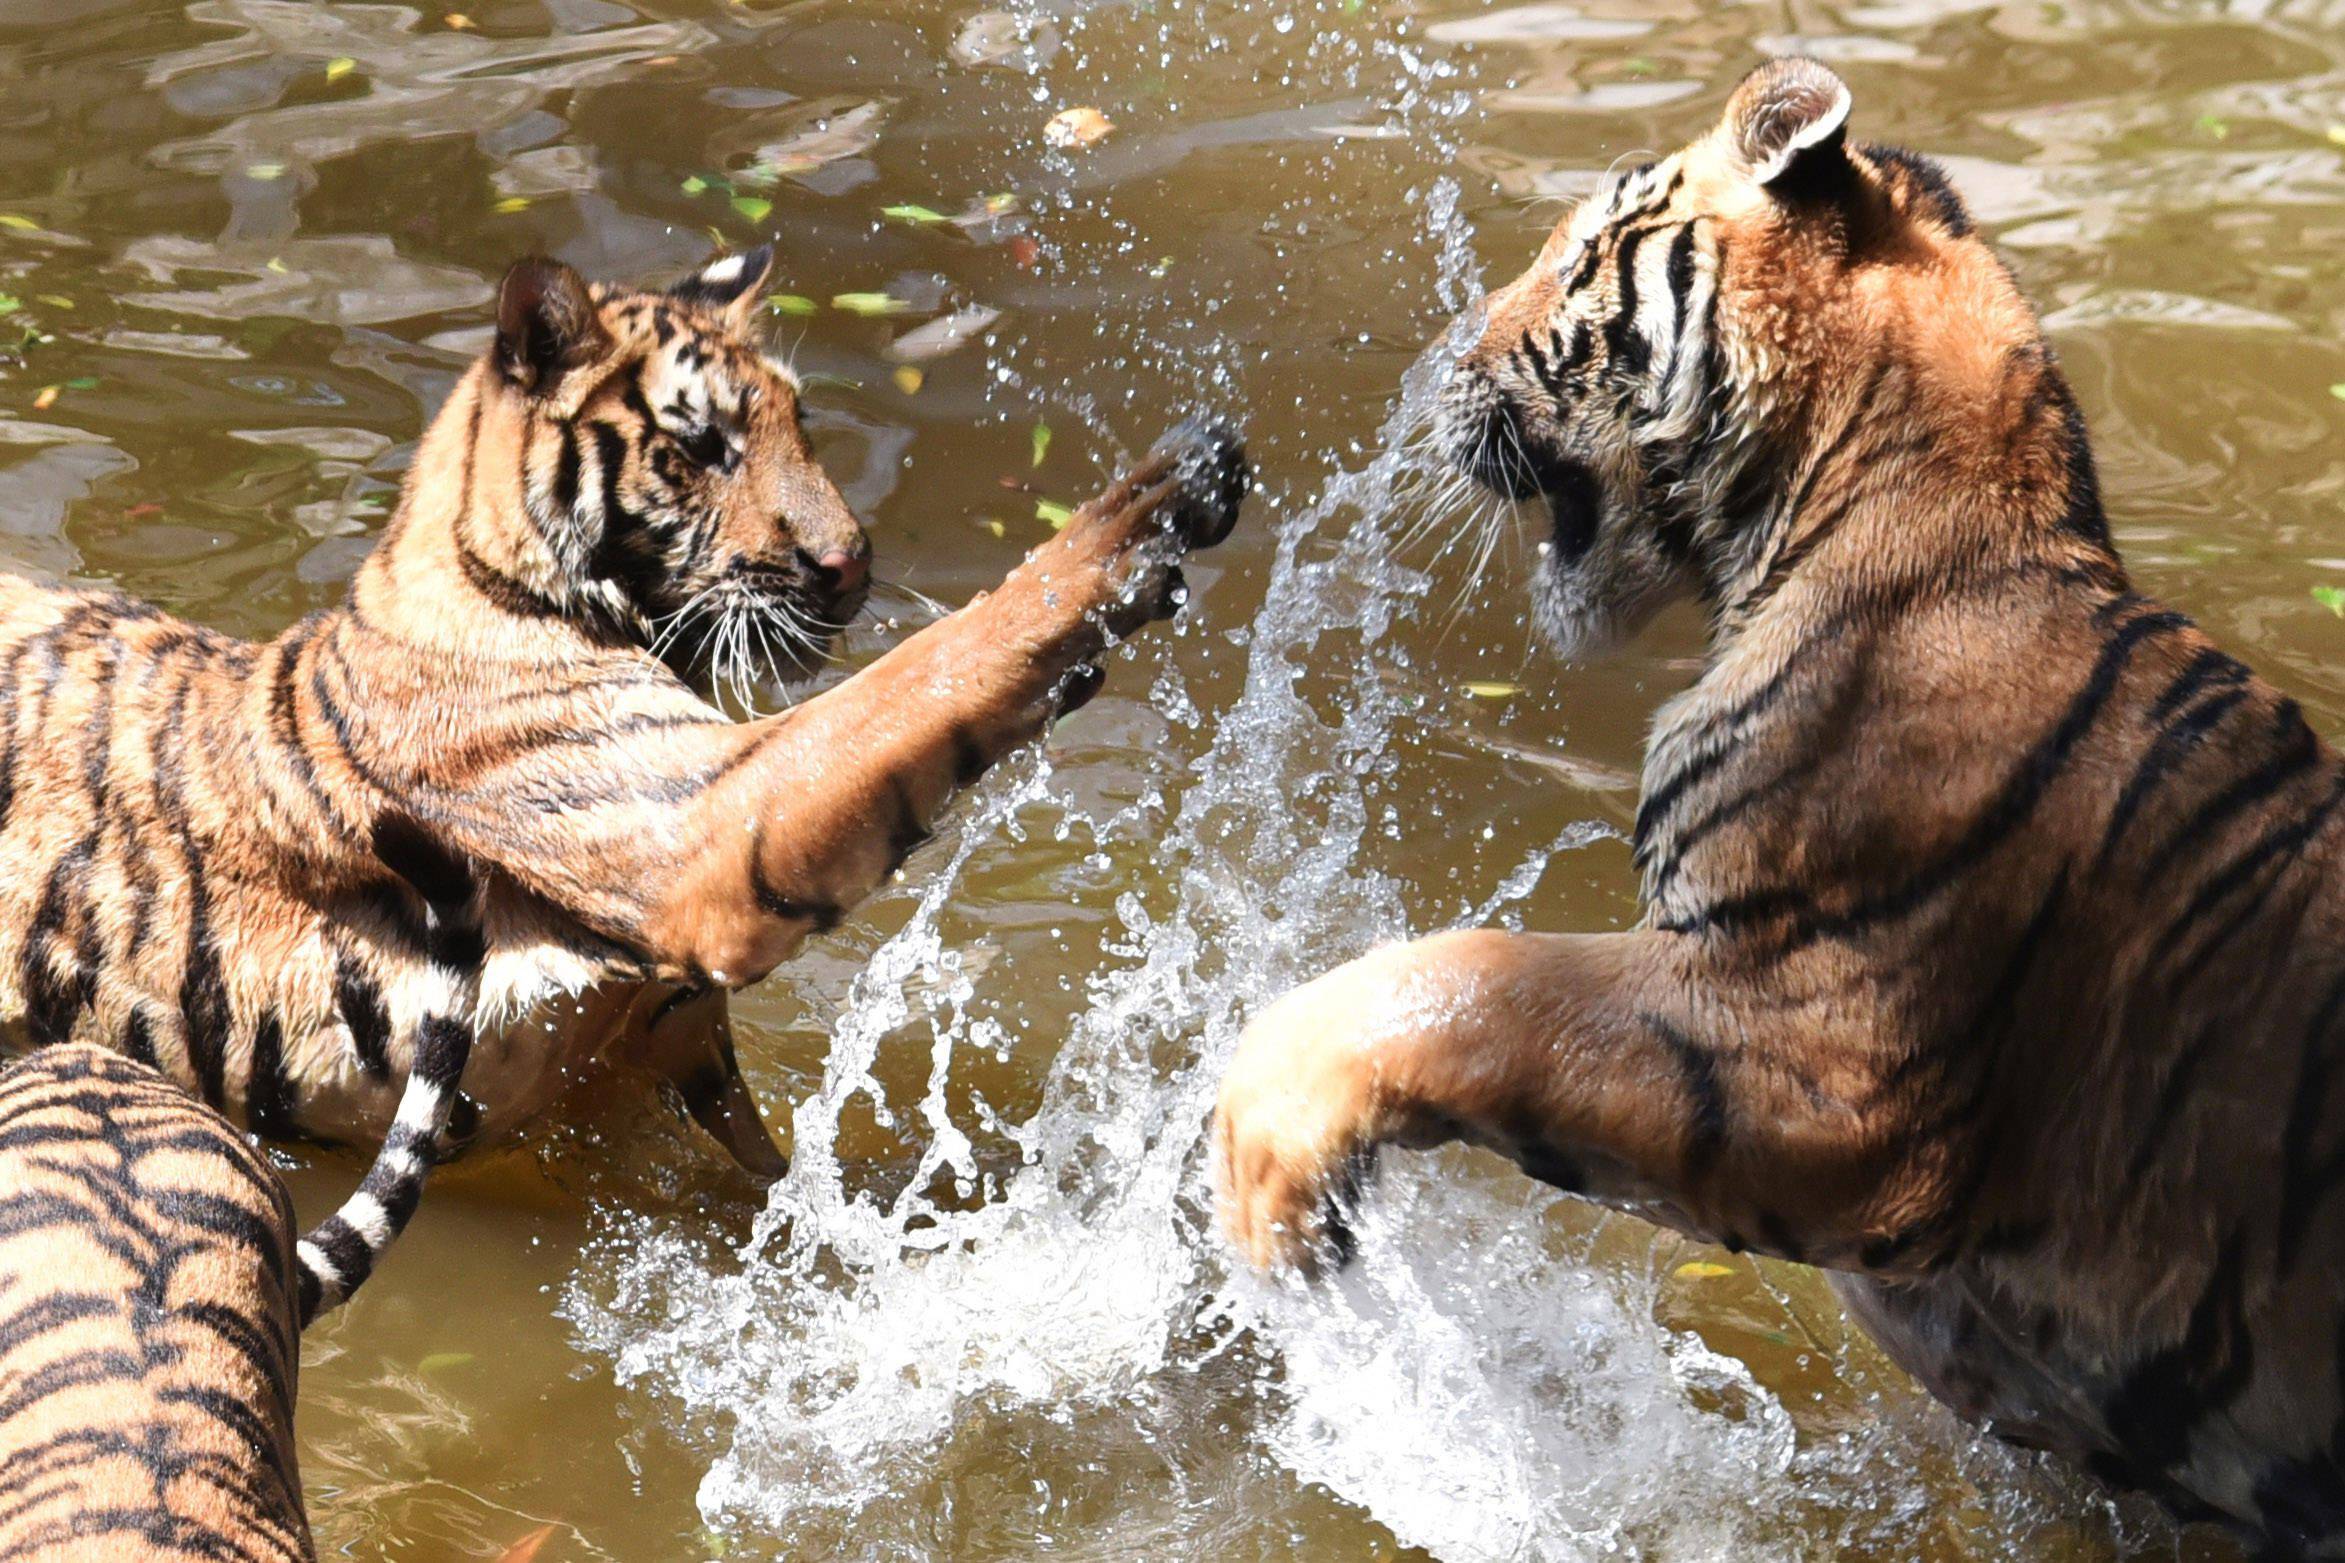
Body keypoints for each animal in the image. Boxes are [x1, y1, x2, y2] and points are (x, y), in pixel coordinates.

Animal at [4, 247, 1247, 1218]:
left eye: (800, 423)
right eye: (703, 447)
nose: (849, 565)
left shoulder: (662, 1054)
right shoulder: (701, 831)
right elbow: (919, 679)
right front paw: (1146, 512)